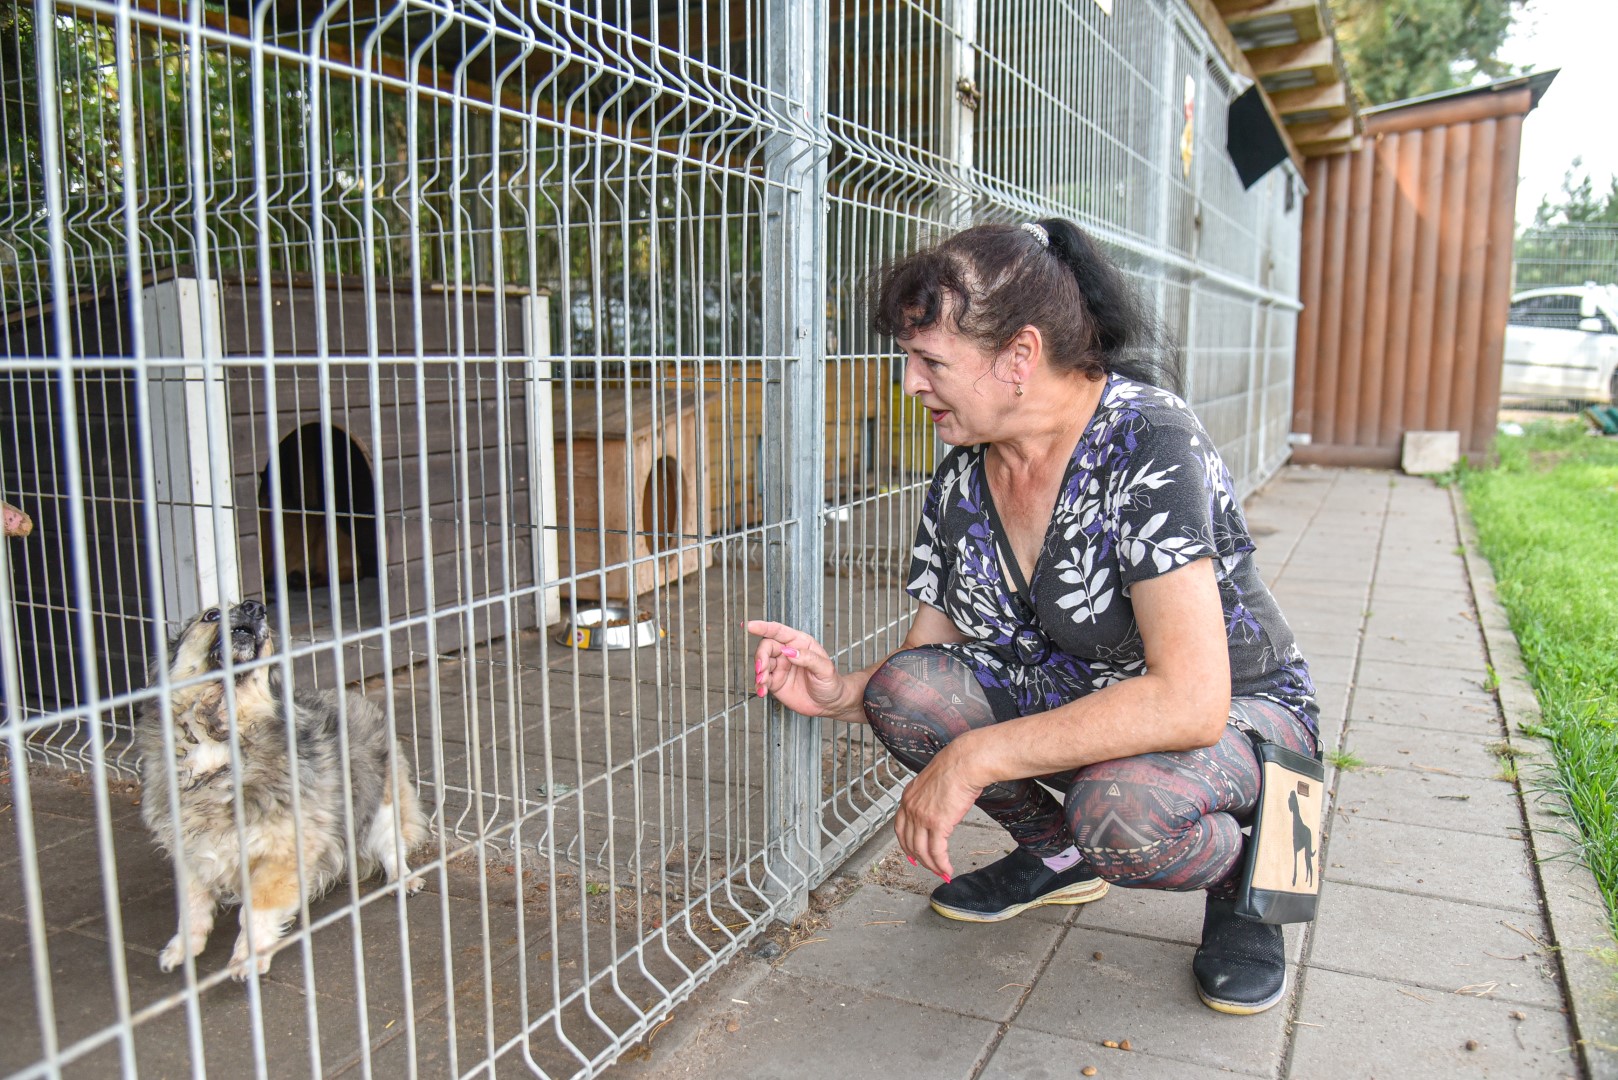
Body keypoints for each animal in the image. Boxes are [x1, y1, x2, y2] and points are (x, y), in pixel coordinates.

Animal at [139, 599, 430, 977]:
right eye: (211, 616)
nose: (254, 606)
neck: (219, 741)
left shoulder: (283, 853)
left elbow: (255, 912)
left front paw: (247, 957)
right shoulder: (190, 850)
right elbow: (192, 907)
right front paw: (184, 947)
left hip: (379, 806)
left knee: (393, 848)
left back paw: (403, 879)